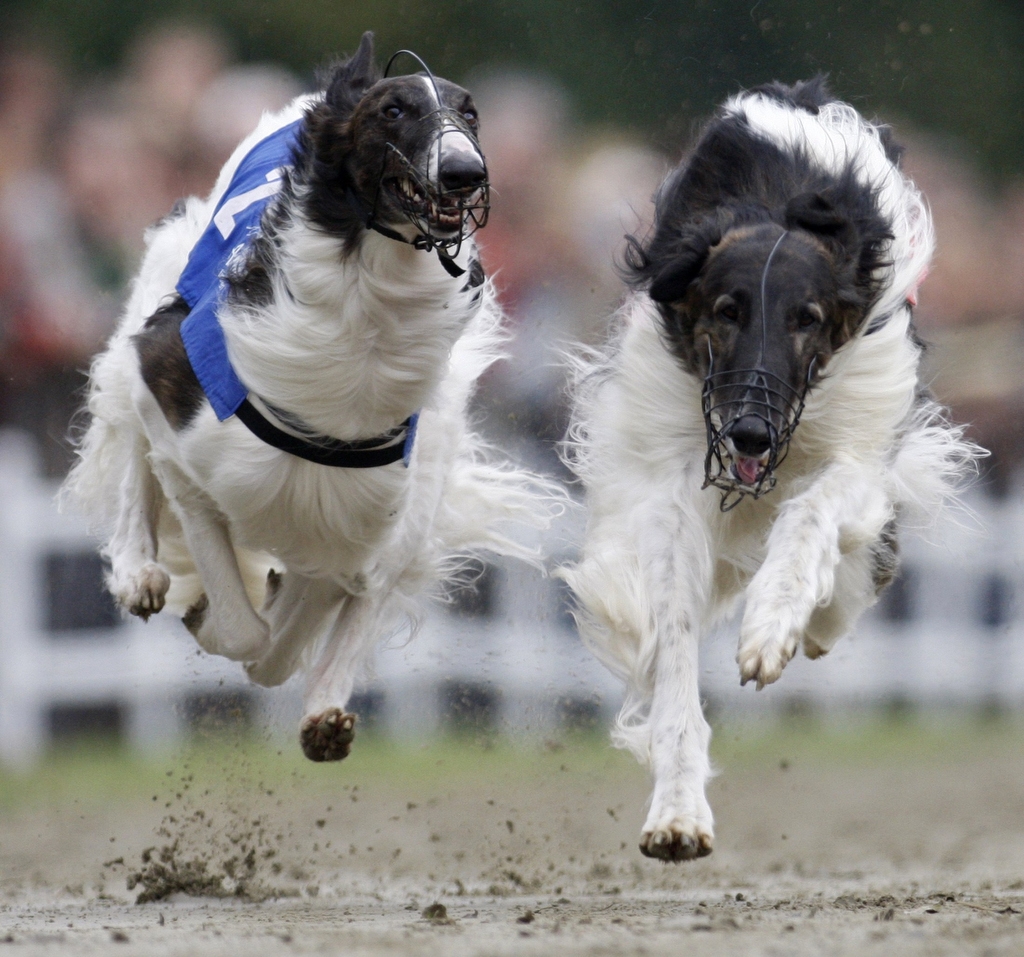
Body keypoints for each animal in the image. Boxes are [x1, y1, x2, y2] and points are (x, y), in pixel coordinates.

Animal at [61, 31, 561, 761]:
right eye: (394, 111)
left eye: (472, 114)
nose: (465, 172)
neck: (363, 327)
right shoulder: (179, 401)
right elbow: (246, 630)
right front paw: (203, 608)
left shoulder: (369, 524)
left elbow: (297, 635)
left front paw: (324, 711)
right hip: (157, 309)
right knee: (129, 437)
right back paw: (138, 571)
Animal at [565, 76, 978, 859]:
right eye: (726, 310)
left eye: (806, 318)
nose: (751, 434)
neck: (778, 208)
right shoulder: (669, 481)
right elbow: (673, 646)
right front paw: (678, 812)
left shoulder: (859, 443)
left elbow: (813, 515)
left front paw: (771, 631)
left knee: (856, 571)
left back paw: (816, 622)